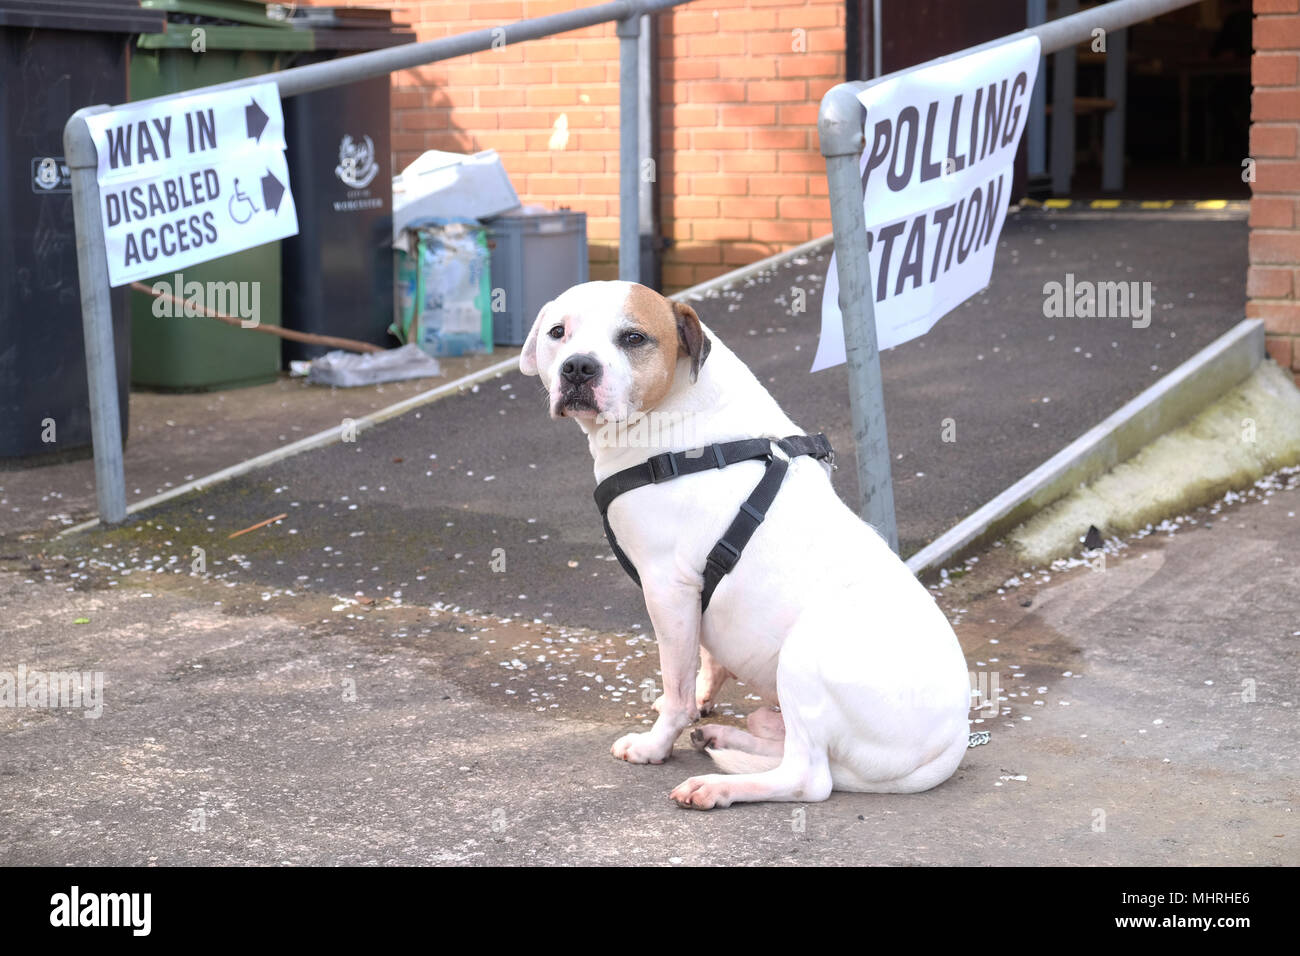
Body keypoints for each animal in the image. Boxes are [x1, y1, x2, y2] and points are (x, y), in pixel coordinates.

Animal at [522, 280, 972, 811]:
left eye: (633, 338)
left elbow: (676, 683)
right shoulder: (700, 594)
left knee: (809, 776)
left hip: (804, 654)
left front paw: (656, 744)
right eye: (557, 332)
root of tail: (954, 740)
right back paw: (727, 737)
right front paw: (701, 702)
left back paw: (718, 785)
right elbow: (705, 660)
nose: (578, 367)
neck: (681, 415)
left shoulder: (668, 589)